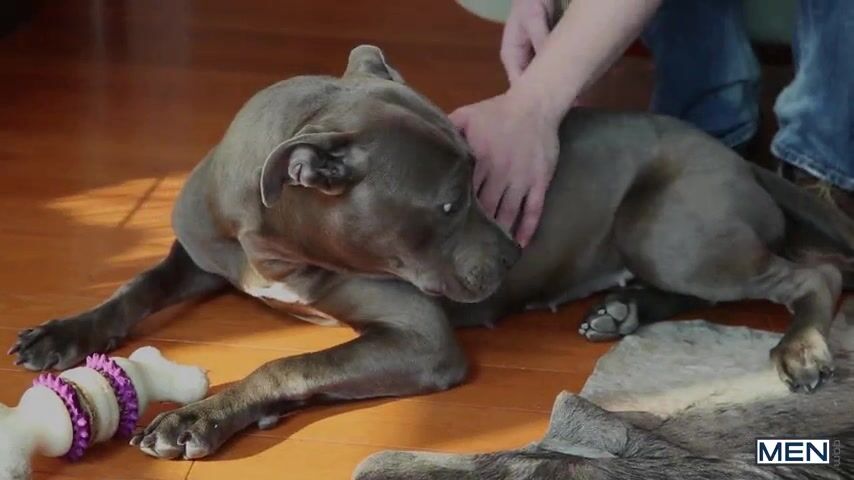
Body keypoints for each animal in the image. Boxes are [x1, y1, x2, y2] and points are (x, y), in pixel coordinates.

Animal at [9, 45, 854, 460]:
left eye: (482, 179)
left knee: (813, 272)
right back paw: (622, 312)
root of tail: (734, 155)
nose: (512, 255)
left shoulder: (419, 339)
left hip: (672, 233)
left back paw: (801, 348)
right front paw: (62, 333)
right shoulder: (198, 253)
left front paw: (202, 417)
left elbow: (288, 362)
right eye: (450, 203)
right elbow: (137, 287)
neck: (266, 233)